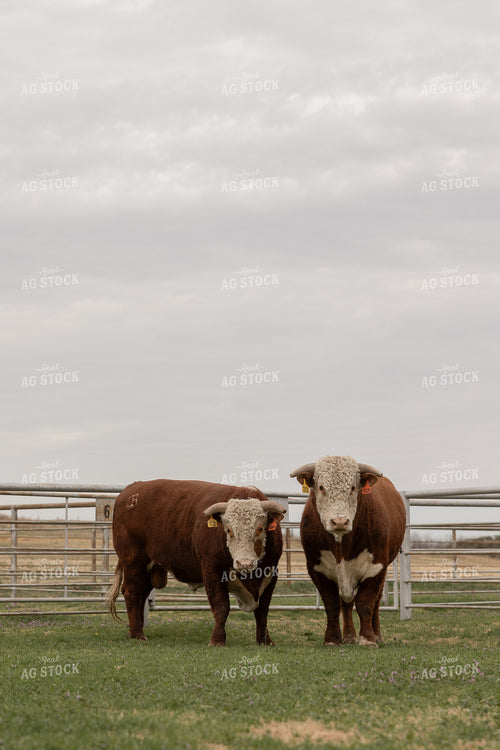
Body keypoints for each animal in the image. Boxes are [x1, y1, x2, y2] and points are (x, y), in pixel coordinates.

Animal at [107, 479, 285, 646]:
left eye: (260, 528)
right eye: (229, 530)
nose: (245, 563)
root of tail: (130, 492)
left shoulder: (271, 574)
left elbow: (263, 610)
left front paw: (265, 641)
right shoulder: (212, 570)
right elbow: (221, 606)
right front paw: (217, 640)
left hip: (149, 569)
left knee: (141, 595)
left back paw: (134, 632)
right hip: (133, 561)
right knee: (132, 593)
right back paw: (138, 634)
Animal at [290, 456, 406, 647]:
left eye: (352, 487)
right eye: (321, 487)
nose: (339, 522)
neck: (341, 547)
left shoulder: (376, 568)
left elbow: (365, 603)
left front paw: (367, 639)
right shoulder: (317, 569)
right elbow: (332, 604)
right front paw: (332, 639)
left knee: (376, 602)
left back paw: (376, 635)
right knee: (346, 603)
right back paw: (349, 636)